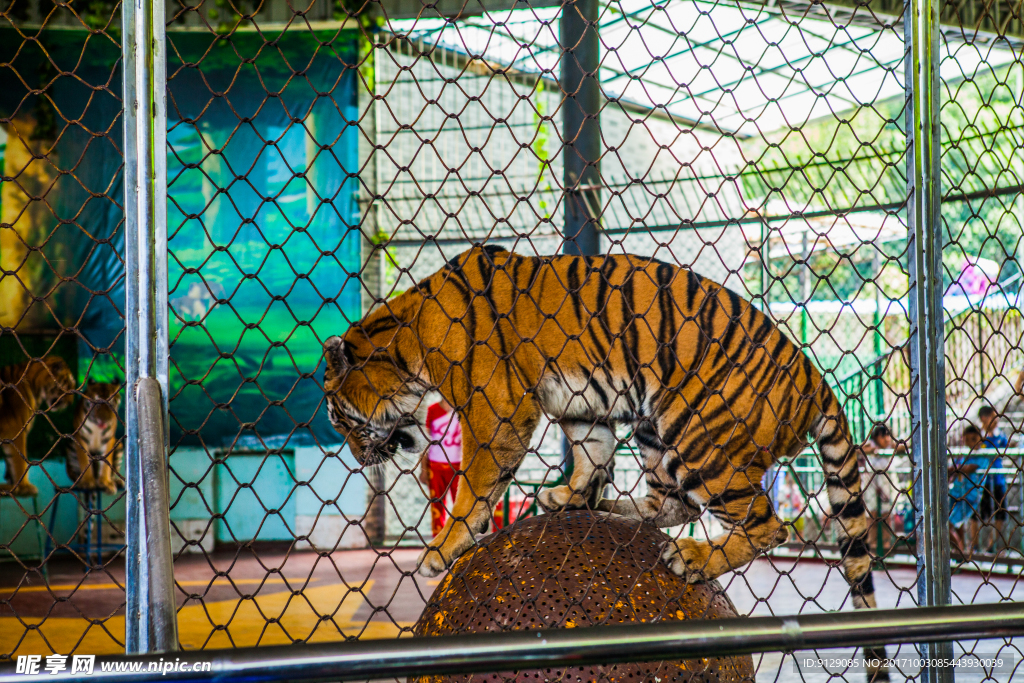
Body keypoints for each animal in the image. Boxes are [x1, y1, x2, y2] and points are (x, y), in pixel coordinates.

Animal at [0, 358, 75, 497]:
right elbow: (19, 461)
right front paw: (24, 487)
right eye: (67, 385)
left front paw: (13, 485)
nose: (70, 403)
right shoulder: (15, 429)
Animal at [325, 246, 880, 647]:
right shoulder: (578, 407)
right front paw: (570, 496)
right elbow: (591, 455)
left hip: (698, 433)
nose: (355, 456)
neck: (408, 343)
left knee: (767, 523)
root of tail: (814, 378)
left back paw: (693, 559)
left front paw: (443, 548)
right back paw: (612, 506)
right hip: (656, 430)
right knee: (672, 504)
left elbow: (474, 485)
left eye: (336, 415)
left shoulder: (496, 410)